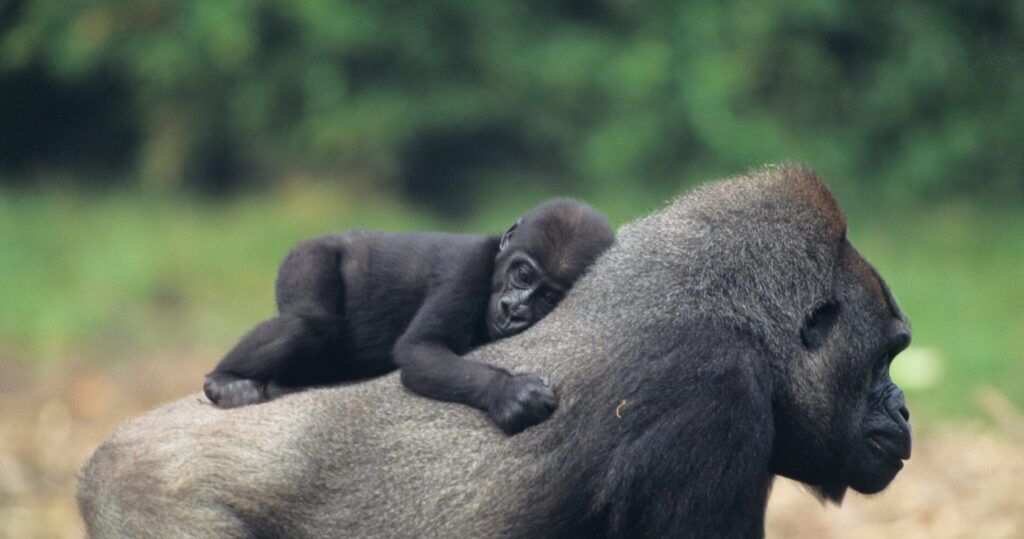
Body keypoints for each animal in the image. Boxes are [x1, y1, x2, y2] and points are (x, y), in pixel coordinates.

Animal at [202, 198, 615, 434]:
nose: (513, 310)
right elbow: (420, 349)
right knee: (308, 323)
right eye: (523, 274)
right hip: (309, 254)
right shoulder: (465, 271)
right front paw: (508, 392)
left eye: (548, 296)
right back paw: (225, 380)